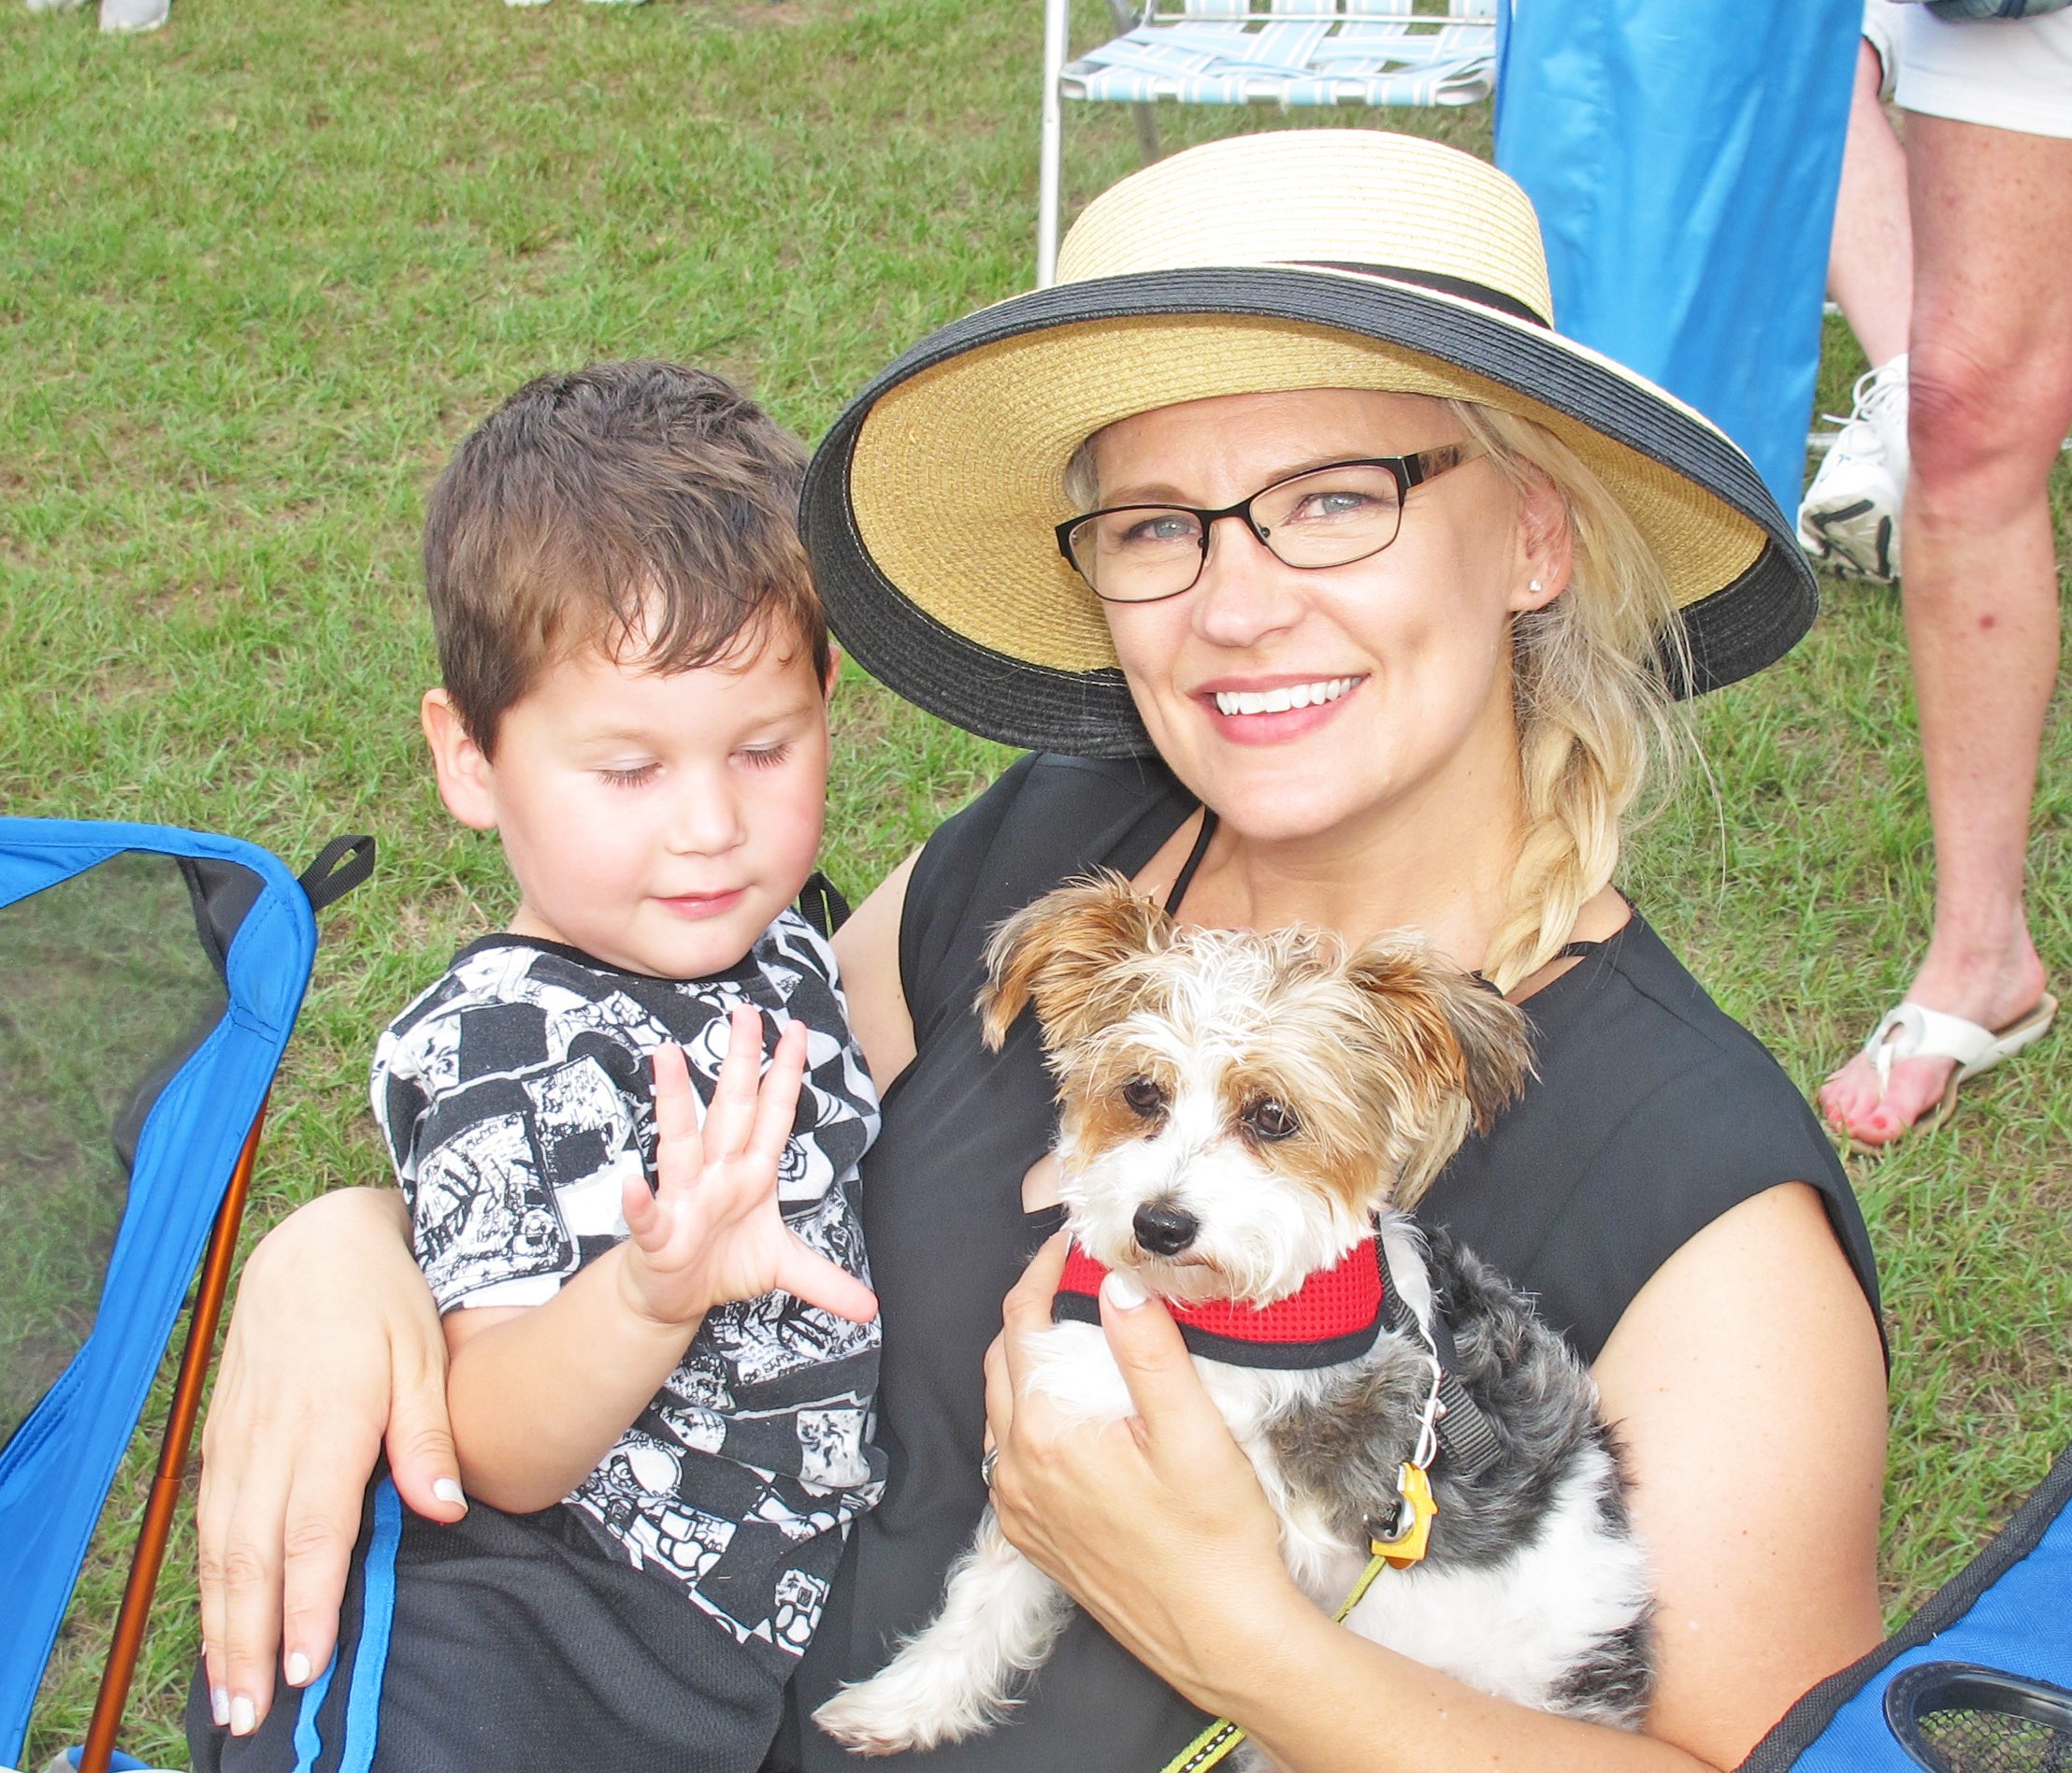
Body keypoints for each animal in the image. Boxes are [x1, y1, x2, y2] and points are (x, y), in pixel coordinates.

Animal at [814, 875, 1653, 1763]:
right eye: (1141, 1092)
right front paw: (907, 1701)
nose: (1161, 1225)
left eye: (1274, 1116)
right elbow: (991, 1590)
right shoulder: (1068, 1414)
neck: (1208, 1323)